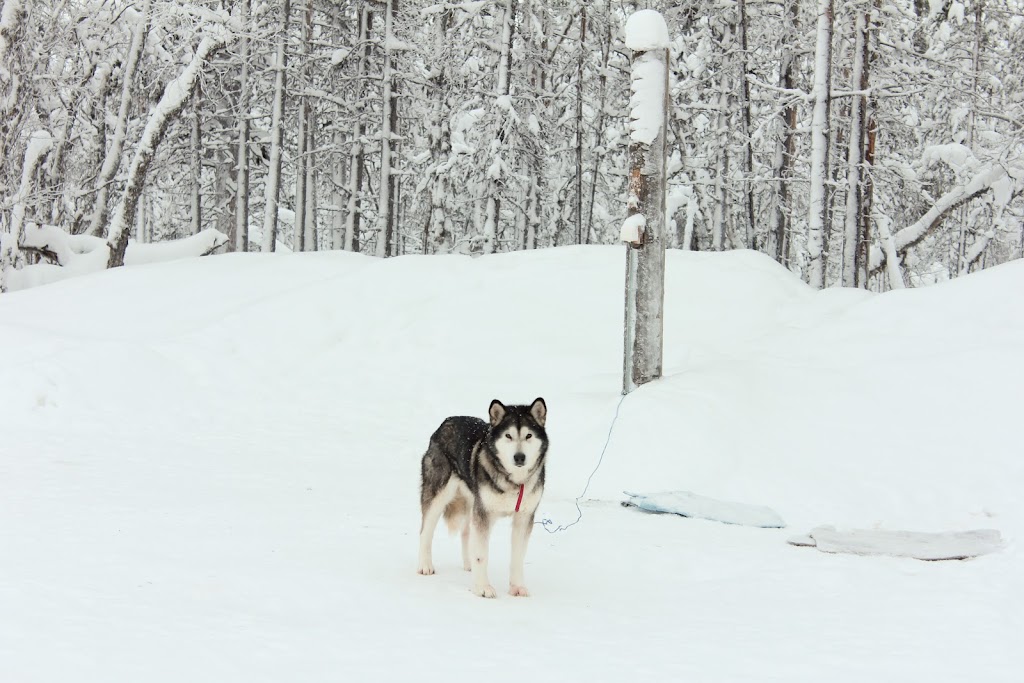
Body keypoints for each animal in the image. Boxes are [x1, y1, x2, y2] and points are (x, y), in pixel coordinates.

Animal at [415, 395, 548, 598]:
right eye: (508, 436)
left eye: (528, 436)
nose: (519, 457)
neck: (514, 481)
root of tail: (446, 422)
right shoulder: (484, 512)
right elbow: (481, 555)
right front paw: (482, 588)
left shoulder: (524, 517)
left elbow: (517, 557)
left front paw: (517, 587)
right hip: (438, 494)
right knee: (425, 531)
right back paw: (425, 565)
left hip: (472, 499)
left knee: (466, 532)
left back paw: (468, 564)